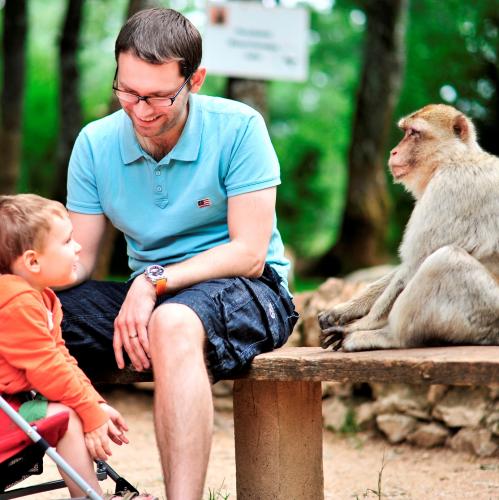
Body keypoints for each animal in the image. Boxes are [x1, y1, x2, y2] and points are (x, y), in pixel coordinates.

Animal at [318, 103, 499, 352]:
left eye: (414, 133)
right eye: (405, 131)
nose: (393, 152)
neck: (453, 159)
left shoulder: (449, 187)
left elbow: (415, 263)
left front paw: (361, 325)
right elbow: (405, 266)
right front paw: (345, 310)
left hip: (486, 312)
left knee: (445, 259)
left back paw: (388, 337)